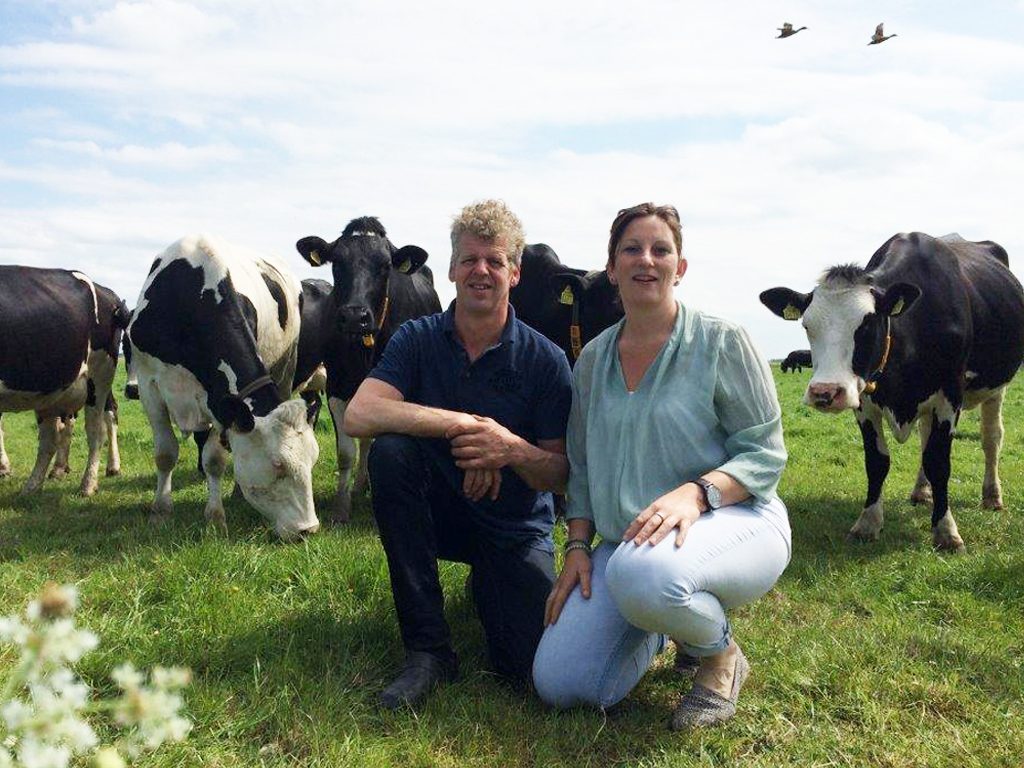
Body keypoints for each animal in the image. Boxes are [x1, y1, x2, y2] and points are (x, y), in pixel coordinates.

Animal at [0, 268, 128, 495]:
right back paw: (34, 485)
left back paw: (90, 483)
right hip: (52, 391)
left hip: (99, 377)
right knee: (50, 439)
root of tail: (108, 294)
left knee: (97, 429)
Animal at [128, 234, 319, 540]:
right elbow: (165, 454)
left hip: (287, 365)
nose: (308, 529)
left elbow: (214, 460)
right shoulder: (148, 385)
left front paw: (215, 518)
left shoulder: (220, 399)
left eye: (313, 460)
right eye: (278, 464)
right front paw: (160, 511)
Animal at [294, 217, 442, 524]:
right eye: (336, 262)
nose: (354, 316)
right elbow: (346, 452)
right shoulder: (337, 385)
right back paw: (360, 484)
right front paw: (341, 507)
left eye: (385, 265)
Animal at [761, 234, 1024, 552]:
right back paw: (921, 492)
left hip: (997, 386)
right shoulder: (864, 401)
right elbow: (877, 462)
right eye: (807, 325)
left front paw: (946, 531)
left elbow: (939, 462)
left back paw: (992, 496)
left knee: (991, 438)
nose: (825, 392)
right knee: (925, 438)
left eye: (868, 323)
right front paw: (868, 523)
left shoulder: (950, 395)